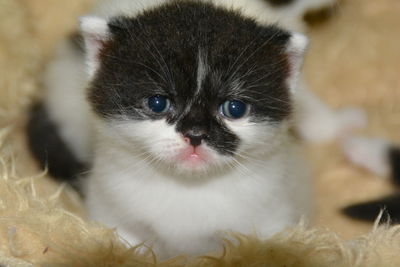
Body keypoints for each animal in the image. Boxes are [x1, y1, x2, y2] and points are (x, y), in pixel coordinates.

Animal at [25, 0, 364, 260]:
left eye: (235, 109)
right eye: (158, 103)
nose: (196, 135)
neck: (188, 189)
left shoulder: (272, 218)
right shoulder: (112, 210)